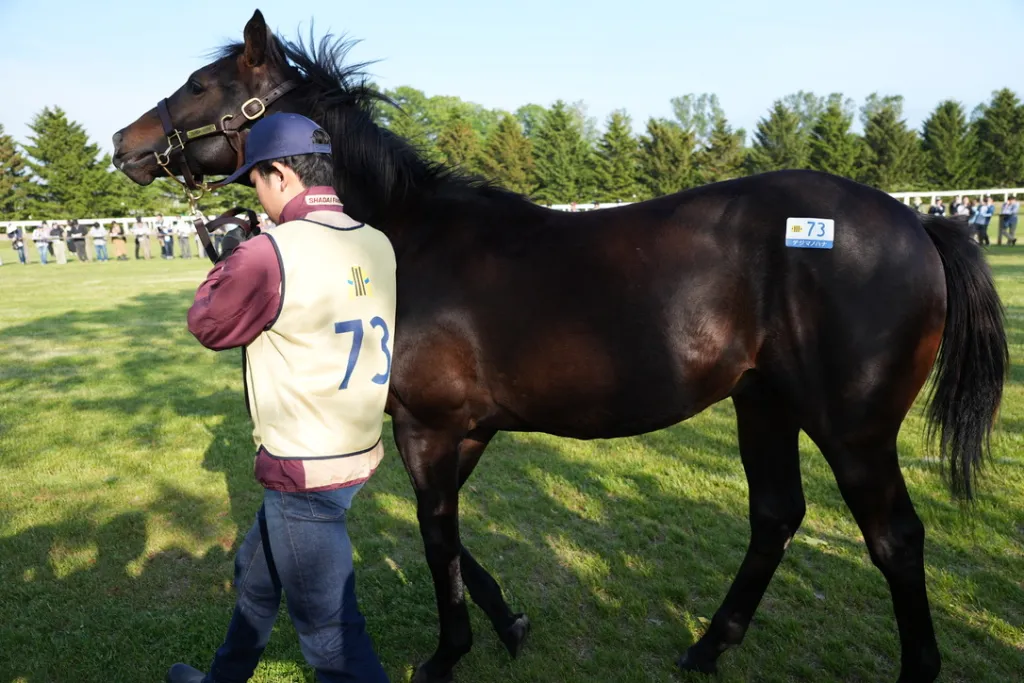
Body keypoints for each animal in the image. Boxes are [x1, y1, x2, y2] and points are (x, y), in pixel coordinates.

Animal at [112, 10, 1007, 683]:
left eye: (202, 85)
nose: (123, 141)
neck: (407, 236)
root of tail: (917, 222)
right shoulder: (468, 429)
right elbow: (455, 538)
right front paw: (509, 623)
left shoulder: (429, 427)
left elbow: (437, 532)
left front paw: (449, 652)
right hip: (763, 403)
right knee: (776, 516)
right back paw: (706, 646)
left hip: (853, 430)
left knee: (894, 540)